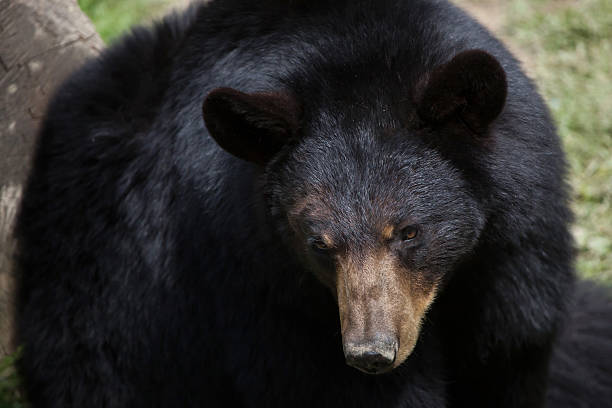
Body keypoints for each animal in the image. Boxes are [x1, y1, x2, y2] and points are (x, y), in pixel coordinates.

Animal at [14, 0, 612, 406]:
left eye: (410, 232)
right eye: (319, 244)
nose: (371, 353)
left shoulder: (516, 262)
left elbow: (509, 354)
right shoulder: (264, 288)